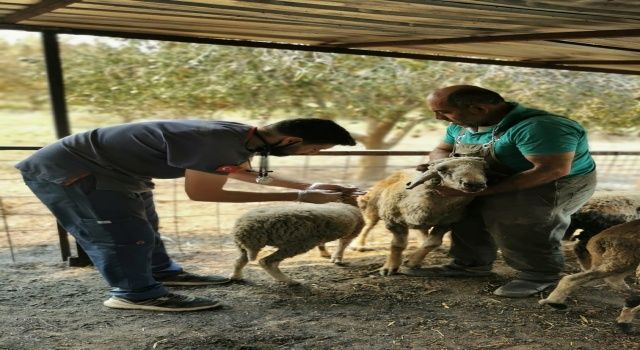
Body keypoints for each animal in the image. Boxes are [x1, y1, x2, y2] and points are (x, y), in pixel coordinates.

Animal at [228, 200, 362, 284]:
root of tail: (243, 228)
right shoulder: (353, 231)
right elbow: (343, 244)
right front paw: (336, 258)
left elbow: (327, 244)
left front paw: (327, 254)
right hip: (298, 243)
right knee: (267, 262)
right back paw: (289, 281)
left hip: (242, 245)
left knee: (239, 261)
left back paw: (236, 276)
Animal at [358, 157, 488, 276]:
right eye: (442, 170)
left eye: (483, 169)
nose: (475, 183)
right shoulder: (393, 221)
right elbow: (397, 245)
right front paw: (389, 268)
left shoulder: (447, 223)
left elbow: (433, 243)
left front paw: (412, 261)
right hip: (373, 208)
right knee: (367, 226)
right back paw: (359, 245)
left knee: (421, 231)